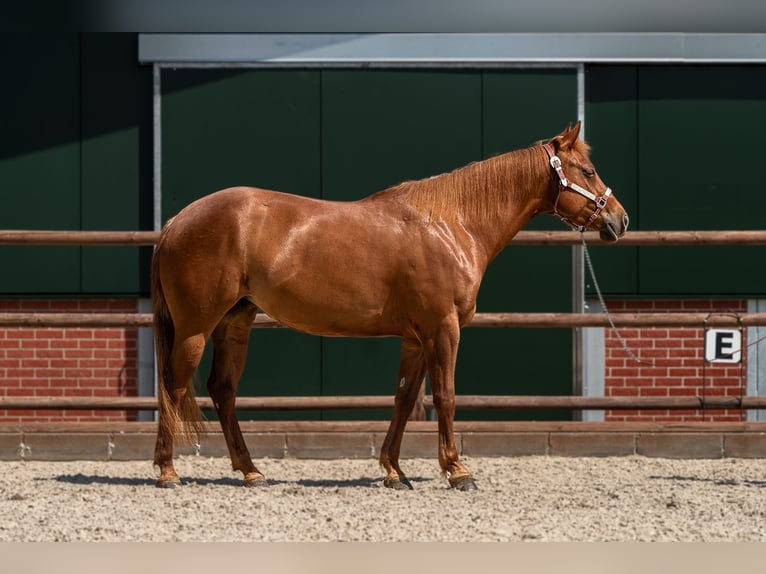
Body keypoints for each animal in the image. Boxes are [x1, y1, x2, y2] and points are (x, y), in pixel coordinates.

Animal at [152, 121, 632, 490]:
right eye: (588, 170)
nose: (620, 220)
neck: (452, 224)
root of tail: (178, 221)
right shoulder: (443, 330)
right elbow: (446, 397)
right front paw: (458, 471)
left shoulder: (417, 339)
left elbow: (403, 400)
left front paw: (394, 471)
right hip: (196, 327)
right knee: (173, 385)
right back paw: (168, 472)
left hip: (233, 324)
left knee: (223, 390)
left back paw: (251, 472)